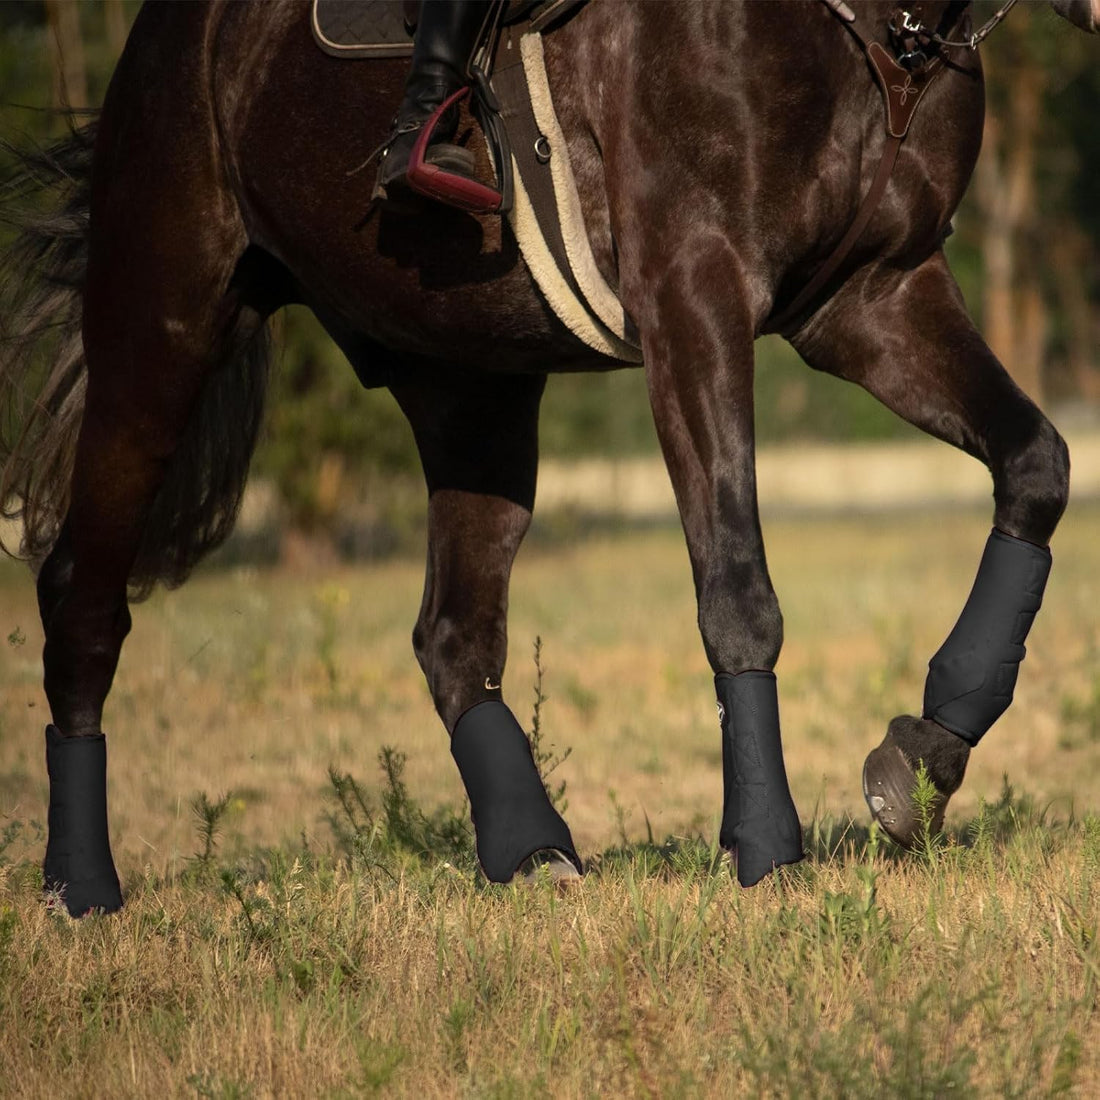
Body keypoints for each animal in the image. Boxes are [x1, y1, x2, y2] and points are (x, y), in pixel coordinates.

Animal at [1, 0, 1096, 916]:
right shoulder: (693, 301)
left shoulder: (874, 300)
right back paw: (79, 886)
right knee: (83, 599)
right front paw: (764, 847)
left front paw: (921, 758)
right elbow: (737, 592)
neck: (874, 40)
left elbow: (1035, 467)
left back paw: (533, 852)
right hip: (163, 333)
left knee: (453, 633)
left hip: (469, 386)